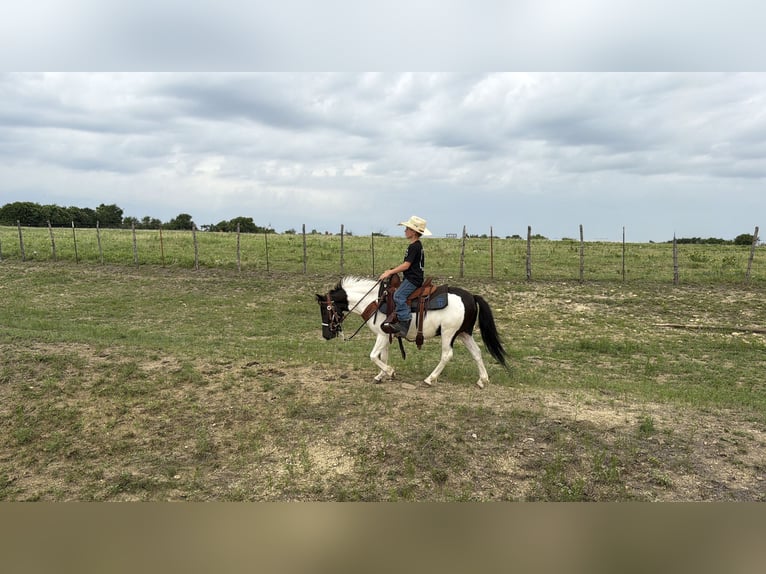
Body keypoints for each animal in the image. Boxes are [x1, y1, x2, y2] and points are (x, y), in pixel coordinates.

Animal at [316, 276, 509, 388]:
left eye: (325, 310)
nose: (326, 335)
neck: (375, 302)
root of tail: (471, 296)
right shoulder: (385, 335)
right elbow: (382, 356)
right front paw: (381, 376)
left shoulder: (382, 334)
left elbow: (373, 356)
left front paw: (390, 372)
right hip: (464, 333)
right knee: (476, 352)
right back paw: (483, 380)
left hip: (449, 333)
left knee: (447, 355)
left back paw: (430, 379)